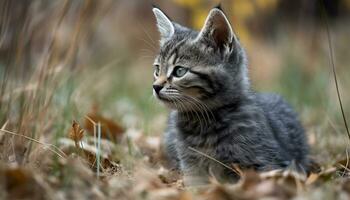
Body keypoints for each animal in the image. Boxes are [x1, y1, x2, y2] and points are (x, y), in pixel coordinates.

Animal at [151, 5, 308, 184]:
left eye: (179, 71)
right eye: (157, 69)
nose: (156, 87)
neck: (204, 124)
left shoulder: (270, 164)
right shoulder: (191, 167)